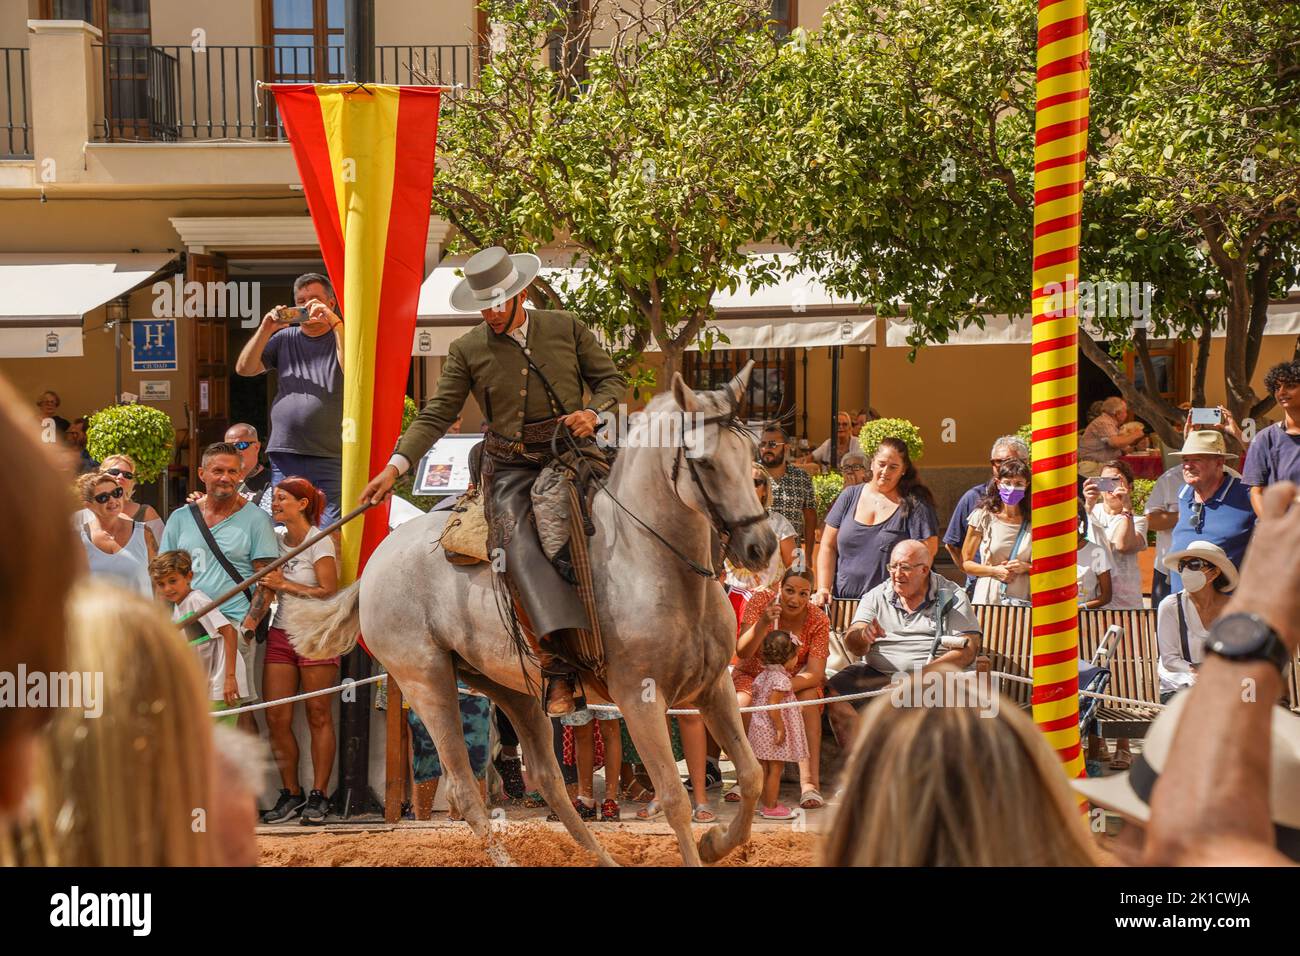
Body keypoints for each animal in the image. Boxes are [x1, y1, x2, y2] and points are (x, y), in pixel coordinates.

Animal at [287, 366, 769, 868]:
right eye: (706, 463)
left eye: (753, 455)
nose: (761, 546)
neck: (655, 563)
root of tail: (373, 565)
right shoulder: (641, 699)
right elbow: (674, 798)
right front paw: (706, 842)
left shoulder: (713, 688)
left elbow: (752, 775)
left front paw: (716, 842)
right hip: (427, 682)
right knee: (464, 787)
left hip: (510, 687)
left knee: (547, 777)